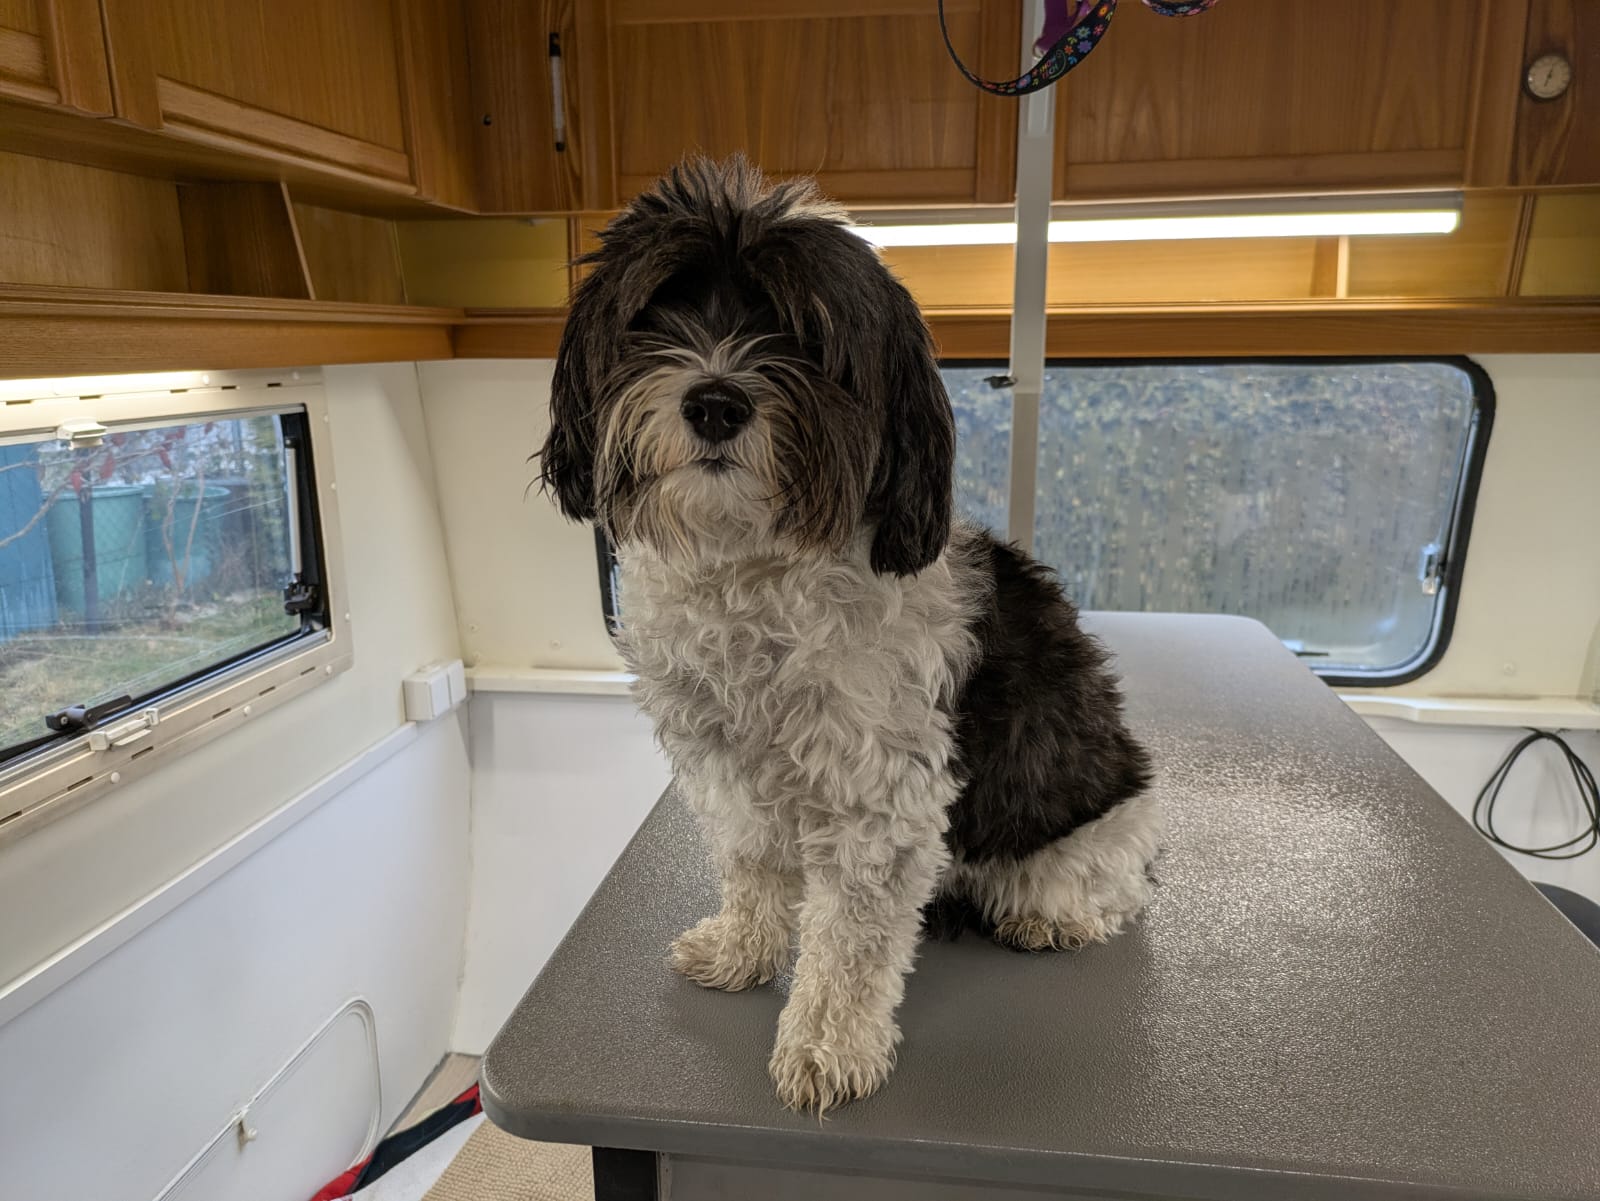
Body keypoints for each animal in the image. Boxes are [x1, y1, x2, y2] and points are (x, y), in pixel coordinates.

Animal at [538, 156, 1160, 1113]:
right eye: (656, 313)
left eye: (803, 335)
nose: (715, 401)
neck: (751, 568)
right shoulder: (727, 768)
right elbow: (753, 866)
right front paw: (744, 951)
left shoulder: (879, 793)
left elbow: (851, 940)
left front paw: (827, 1045)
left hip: (1092, 826)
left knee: (1093, 883)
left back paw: (1046, 914)